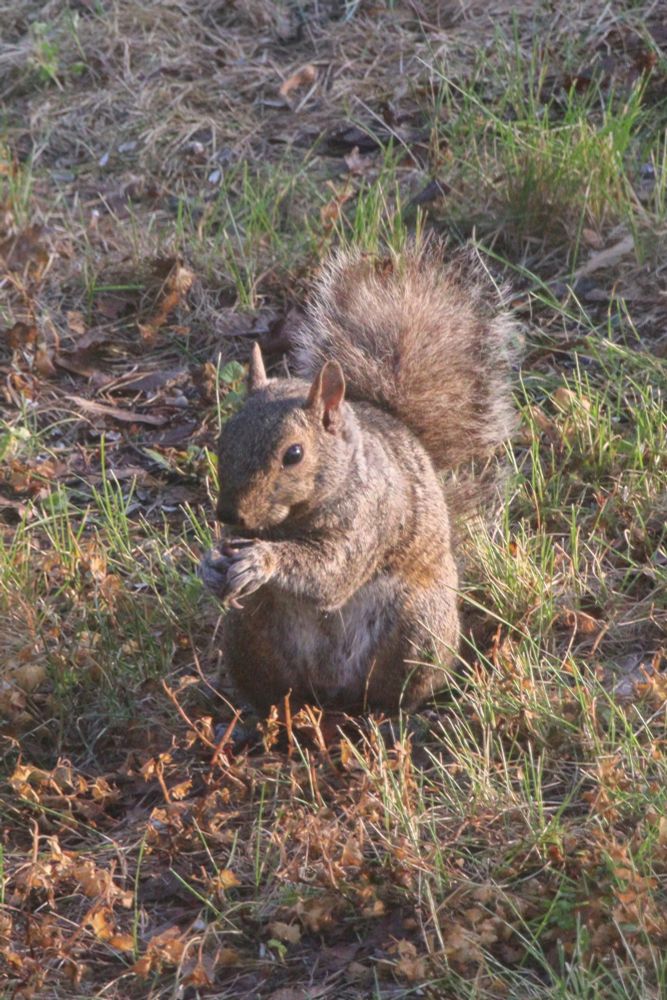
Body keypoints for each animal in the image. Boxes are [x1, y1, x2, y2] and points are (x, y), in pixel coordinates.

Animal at [199, 239, 517, 715]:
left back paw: (389, 715)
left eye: (294, 454)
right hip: (247, 632)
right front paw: (212, 564)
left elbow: (332, 569)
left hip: (417, 624)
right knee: (274, 689)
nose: (229, 515)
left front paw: (263, 560)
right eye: (224, 437)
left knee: (399, 690)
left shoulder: (371, 518)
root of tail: (332, 690)